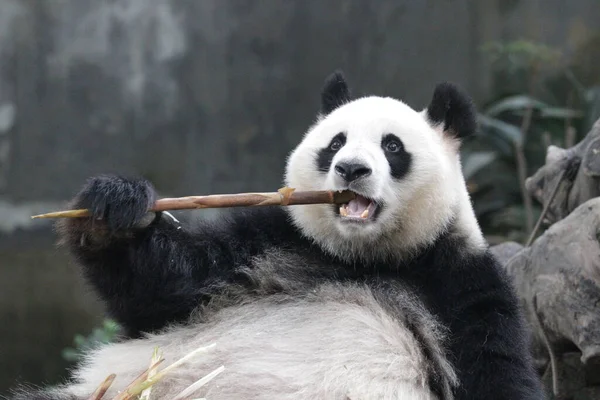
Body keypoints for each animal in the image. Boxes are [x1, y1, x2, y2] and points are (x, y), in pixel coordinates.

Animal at [8, 72, 544, 400]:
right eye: (335, 143)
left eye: (393, 146)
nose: (351, 169)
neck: (364, 257)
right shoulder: (270, 244)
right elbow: (159, 292)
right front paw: (114, 207)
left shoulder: (460, 284)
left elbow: (495, 369)